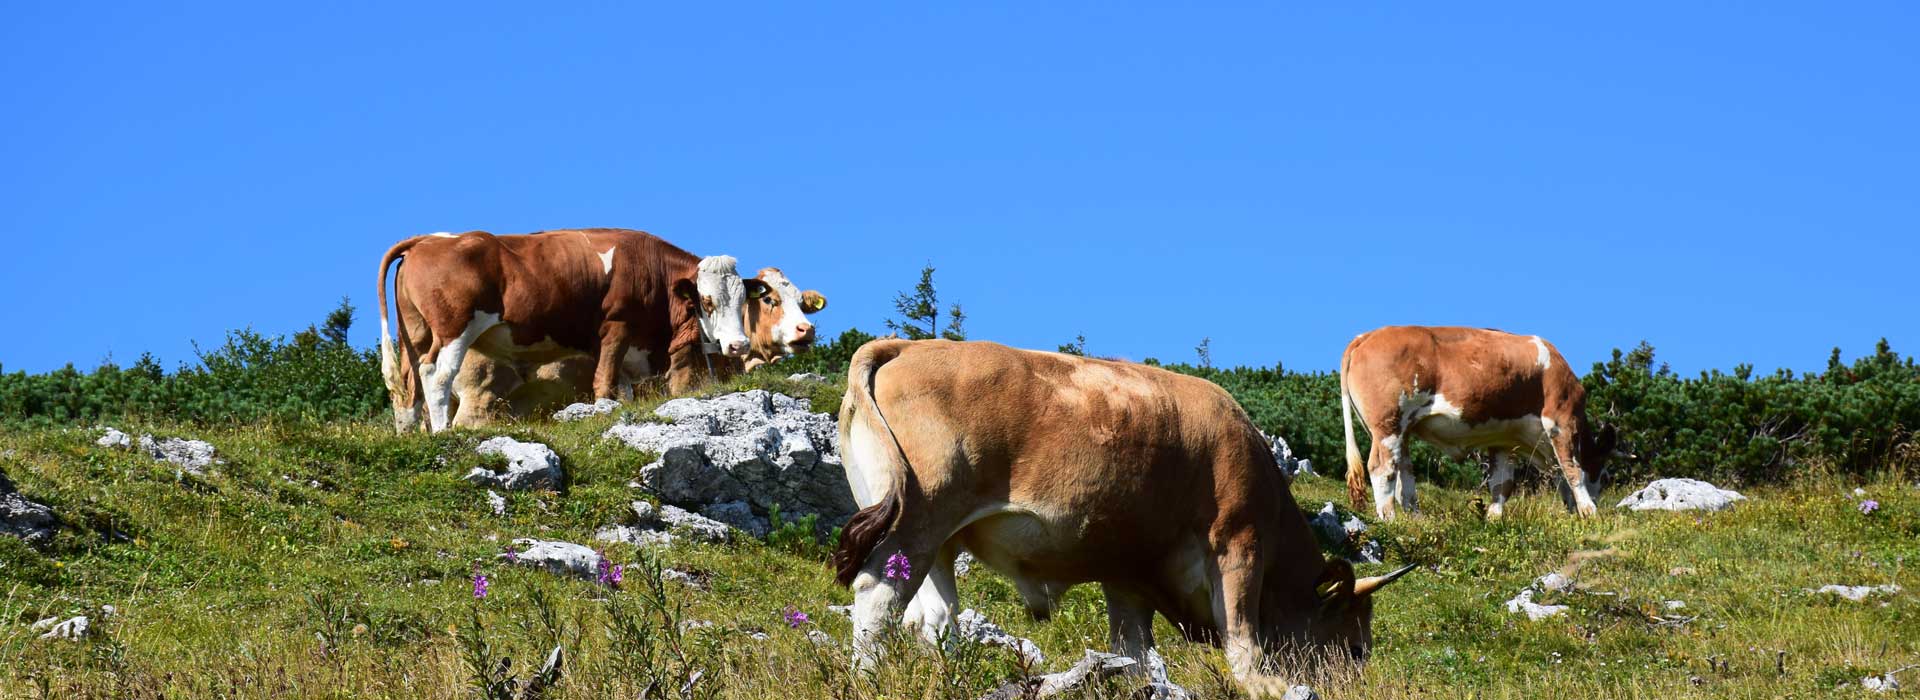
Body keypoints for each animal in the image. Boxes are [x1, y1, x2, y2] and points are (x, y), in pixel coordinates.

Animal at [374, 227, 756, 431]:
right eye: (706, 301)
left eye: (741, 301)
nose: (739, 345)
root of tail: (428, 240)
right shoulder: (617, 327)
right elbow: (604, 384)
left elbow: (621, 388)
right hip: (454, 329)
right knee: (437, 375)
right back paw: (442, 431)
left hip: (414, 332)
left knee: (409, 385)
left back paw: (410, 434)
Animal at [833, 337, 1420, 694]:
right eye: (1356, 648)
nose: (1357, 688)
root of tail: (906, 346)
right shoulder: (1239, 544)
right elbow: (1242, 636)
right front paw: (1268, 687)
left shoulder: (1128, 577)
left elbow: (1133, 650)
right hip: (916, 521)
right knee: (878, 596)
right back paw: (868, 678)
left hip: (938, 543)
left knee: (931, 617)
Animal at [1336, 326, 1620, 517]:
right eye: (1605, 476)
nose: (1595, 502)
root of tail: (1366, 336)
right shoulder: (1561, 419)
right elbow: (1573, 470)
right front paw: (1589, 511)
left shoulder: (1505, 439)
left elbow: (1502, 482)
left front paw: (1494, 518)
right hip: (1388, 423)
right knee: (1382, 468)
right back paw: (1390, 518)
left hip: (1401, 429)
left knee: (1403, 473)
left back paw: (1416, 518)